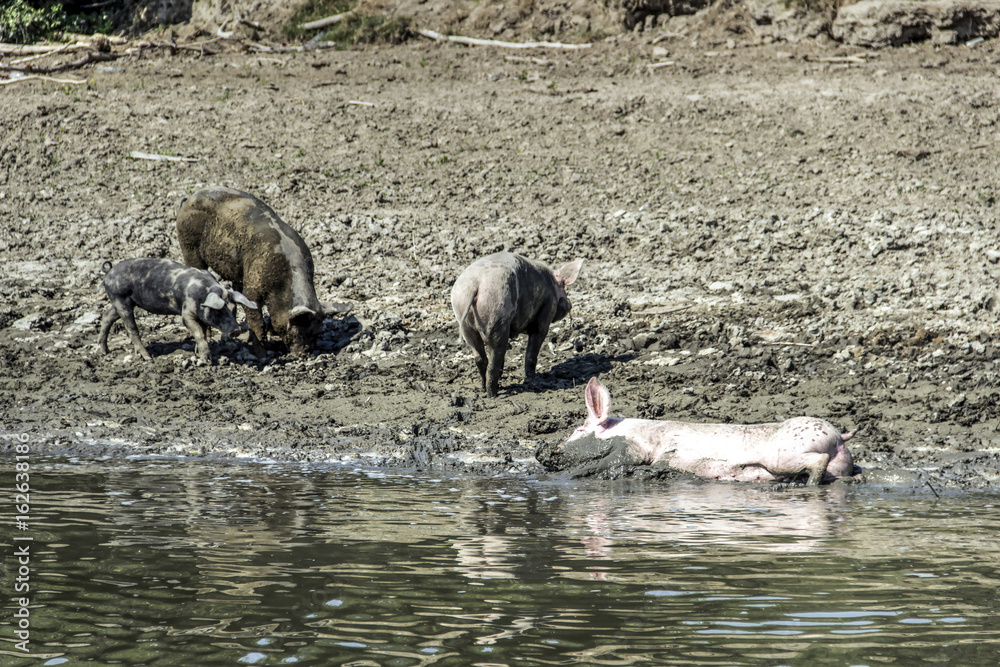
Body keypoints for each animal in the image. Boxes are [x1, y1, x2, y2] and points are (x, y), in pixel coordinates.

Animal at [97, 258, 258, 363]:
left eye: (233, 309)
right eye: (219, 310)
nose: (236, 330)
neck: (202, 294)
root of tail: (109, 271)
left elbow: (203, 331)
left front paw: (198, 353)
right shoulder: (186, 313)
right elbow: (198, 332)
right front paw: (206, 360)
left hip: (121, 301)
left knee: (107, 315)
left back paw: (104, 352)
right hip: (120, 298)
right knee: (131, 328)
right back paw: (147, 357)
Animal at [176, 186, 348, 358]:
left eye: (317, 332)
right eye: (299, 330)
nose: (305, 353)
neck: (283, 285)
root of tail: (188, 199)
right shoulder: (253, 290)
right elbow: (256, 321)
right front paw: (262, 354)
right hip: (189, 246)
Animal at [450, 252, 583, 398]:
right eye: (564, 287)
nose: (569, 304)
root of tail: (476, 284)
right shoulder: (547, 311)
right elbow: (532, 351)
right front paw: (531, 379)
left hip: (465, 323)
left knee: (481, 358)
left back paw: (485, 388)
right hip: (496, 313)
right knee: (494, 358)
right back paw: (493, 394)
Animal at [562, 377, 856, 485]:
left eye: (578, 429)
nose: (556, 447)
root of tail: (838, 437)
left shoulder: (638, 447)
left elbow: (615, 460)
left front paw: (569, 476)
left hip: (783, 455)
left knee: (818, 461)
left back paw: (806, 485)